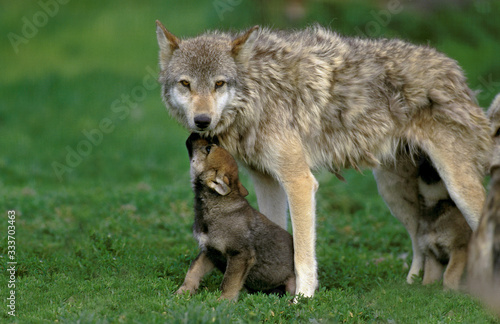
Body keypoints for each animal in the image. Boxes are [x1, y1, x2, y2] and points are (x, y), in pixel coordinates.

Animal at [177, 133, 294, 300]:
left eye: (208, 148)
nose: (195, 133)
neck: (216, 206)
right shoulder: (210, 251)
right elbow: (193, 271)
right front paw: (183, 292)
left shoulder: (240, 255)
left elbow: (228, 281)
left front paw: (223, 301)